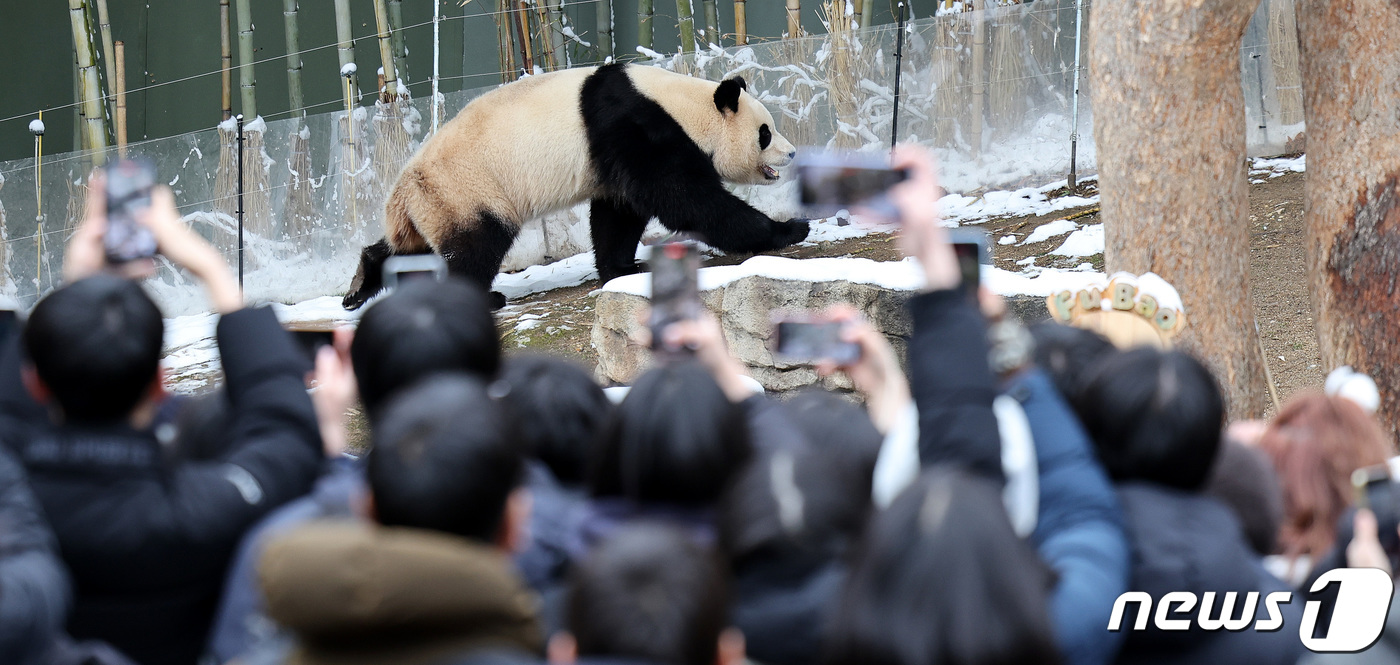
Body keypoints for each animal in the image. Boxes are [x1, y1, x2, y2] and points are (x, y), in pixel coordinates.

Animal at [340, 63, 817, 310]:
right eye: (765, 133)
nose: (792, 153)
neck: (682, 104)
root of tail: (401, 192)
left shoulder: (618, 149)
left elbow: (620, 210)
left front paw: (622, 268)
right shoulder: (636, 125)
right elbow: (685, 199)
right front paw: (790, 228)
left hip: (434, 204)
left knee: (410, 249)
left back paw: (359, 284)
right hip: (467, 188)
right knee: (475, 245)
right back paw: (483, 298)